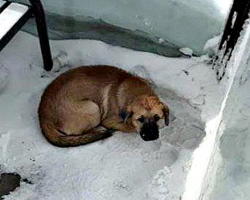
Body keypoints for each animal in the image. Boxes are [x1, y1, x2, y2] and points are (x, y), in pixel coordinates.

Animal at [37, 65, 170, 147]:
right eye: (140, 119)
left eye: (157, 118)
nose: (152, 136)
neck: (137, 92)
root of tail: (43, 116)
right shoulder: (110, 120)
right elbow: (129, 127)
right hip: (93, 108)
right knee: (78, 133)